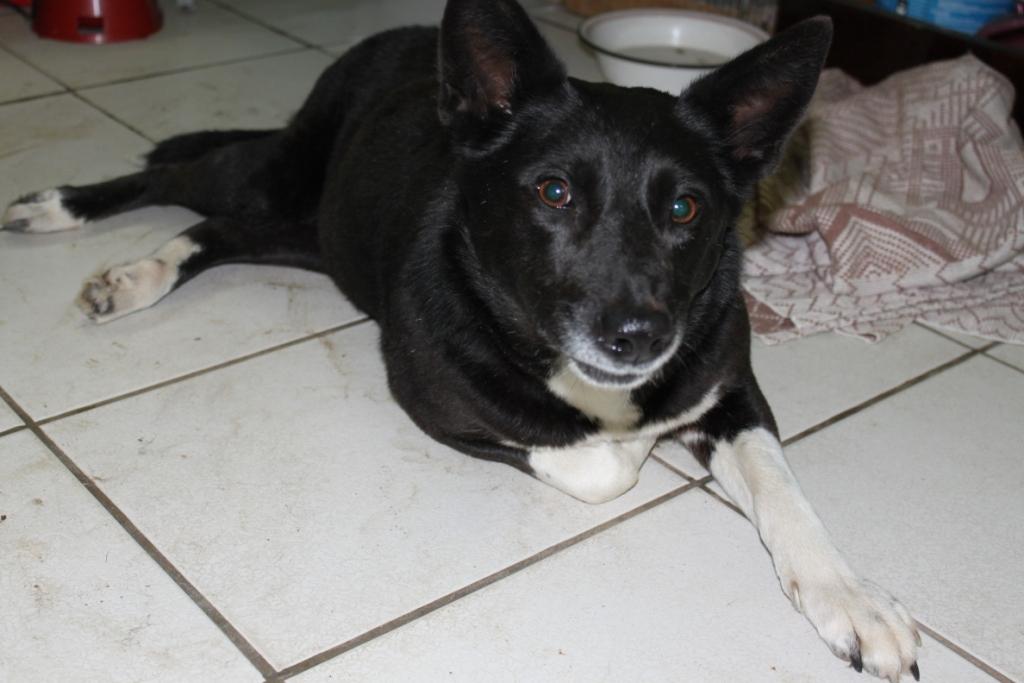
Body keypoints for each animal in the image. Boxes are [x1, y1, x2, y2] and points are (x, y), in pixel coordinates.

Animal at [1, 1, 921, 679]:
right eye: (553, 192)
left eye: (686, 207)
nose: (638, 336)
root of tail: (405, 38)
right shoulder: (436, 397)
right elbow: (600, 467)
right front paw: (630, 444)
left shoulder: (728, 384)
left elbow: (781, 485)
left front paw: (852, 596)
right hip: (278, 176)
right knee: (170, 177)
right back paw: (68, 218)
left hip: (314, 232)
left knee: (217, 231)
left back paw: (142, 272)